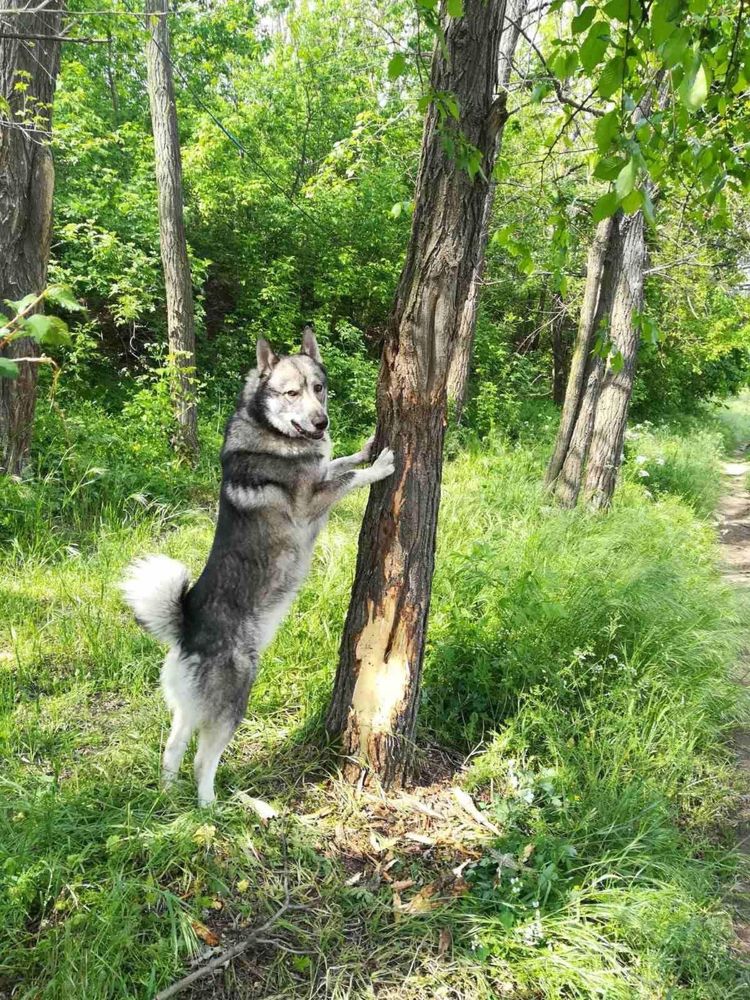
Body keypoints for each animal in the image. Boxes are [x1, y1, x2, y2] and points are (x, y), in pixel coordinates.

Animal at [120, 328, 396, 804]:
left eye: (319, 388)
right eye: (291, 393)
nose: (321, 422)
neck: (273, 431)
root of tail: (186, 629)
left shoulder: (322, 470)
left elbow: (338, 461)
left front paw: (365, 447)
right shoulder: (313, 502)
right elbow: (347, 477)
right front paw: (379, 464)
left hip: (188, 708)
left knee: (172, 749)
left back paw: (168, 796)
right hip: (237, 695)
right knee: (202, 761)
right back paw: (214, 807)